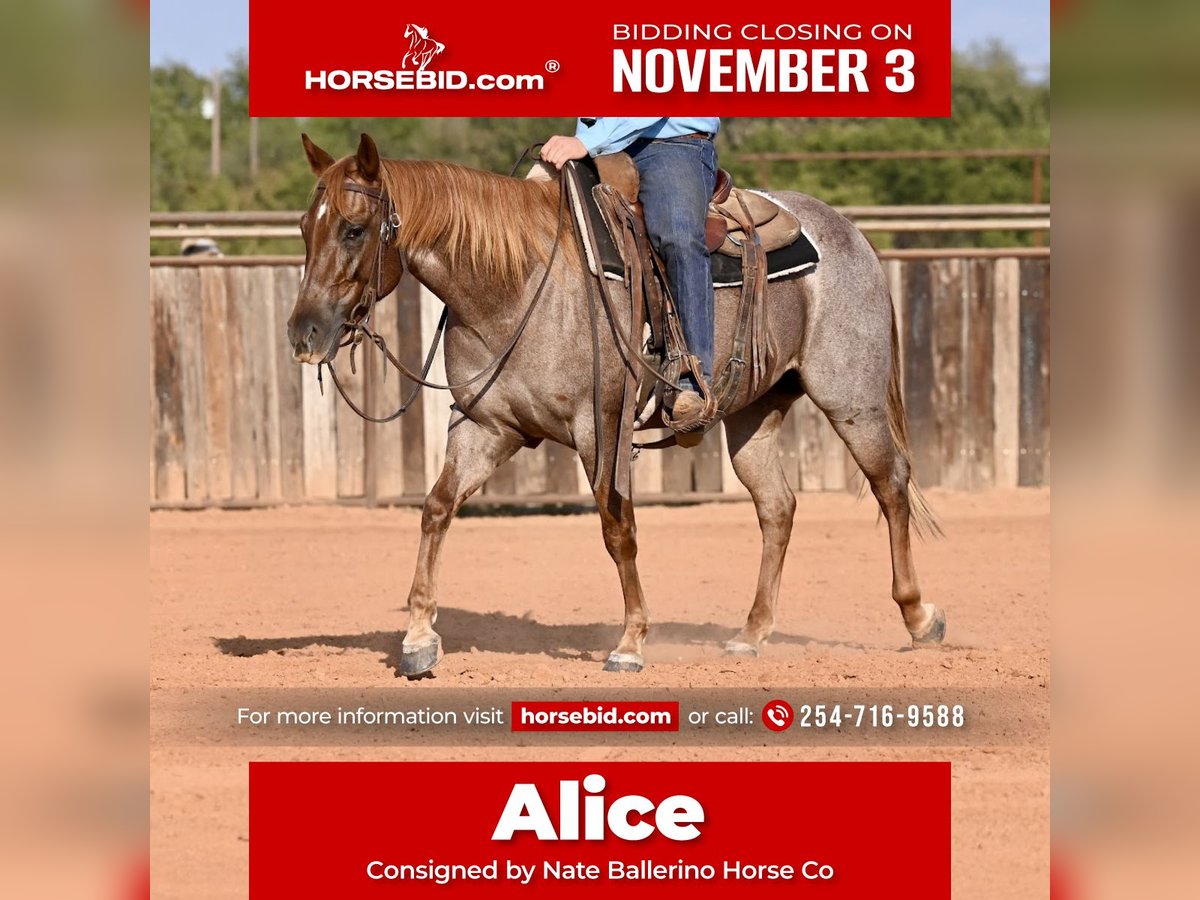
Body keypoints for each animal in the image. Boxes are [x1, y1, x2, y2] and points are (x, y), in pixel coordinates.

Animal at [287, 132, 945, 678]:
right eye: (302, 227)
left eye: (353, 229)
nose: (303, 333)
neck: (519, 283)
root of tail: (849, 233)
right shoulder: (485, 426)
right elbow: (436, 509)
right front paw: (419, 638)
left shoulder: (599, 427)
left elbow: (616, 526)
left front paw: (630, 641)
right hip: (752, 414)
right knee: (777, 508)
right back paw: (752, 633)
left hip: (851, 397)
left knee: (890, 485)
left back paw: (919, 617)